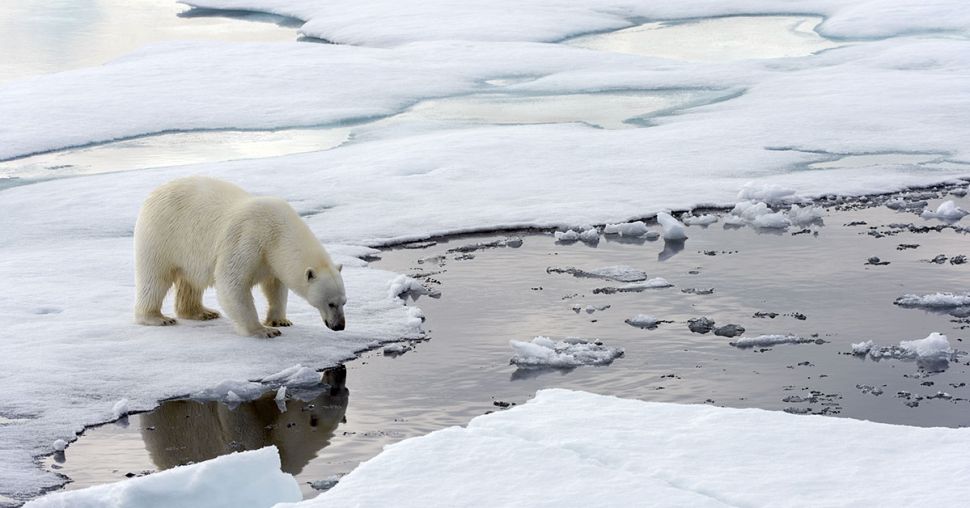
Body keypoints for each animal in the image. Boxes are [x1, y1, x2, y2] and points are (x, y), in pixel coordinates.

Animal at [134, 177, 346, 340]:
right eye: (330, 303)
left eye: (344, 302)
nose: (340, 326)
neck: (277, 233)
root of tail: (154, 193)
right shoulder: (248, 239)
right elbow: (232, 282)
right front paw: (264, 331)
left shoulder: (271, 258)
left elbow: (275, 286)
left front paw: (280, 320)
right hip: (163, 235)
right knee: (155, 278)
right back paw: (158, 317)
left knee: (190, 283)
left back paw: (202, 312)